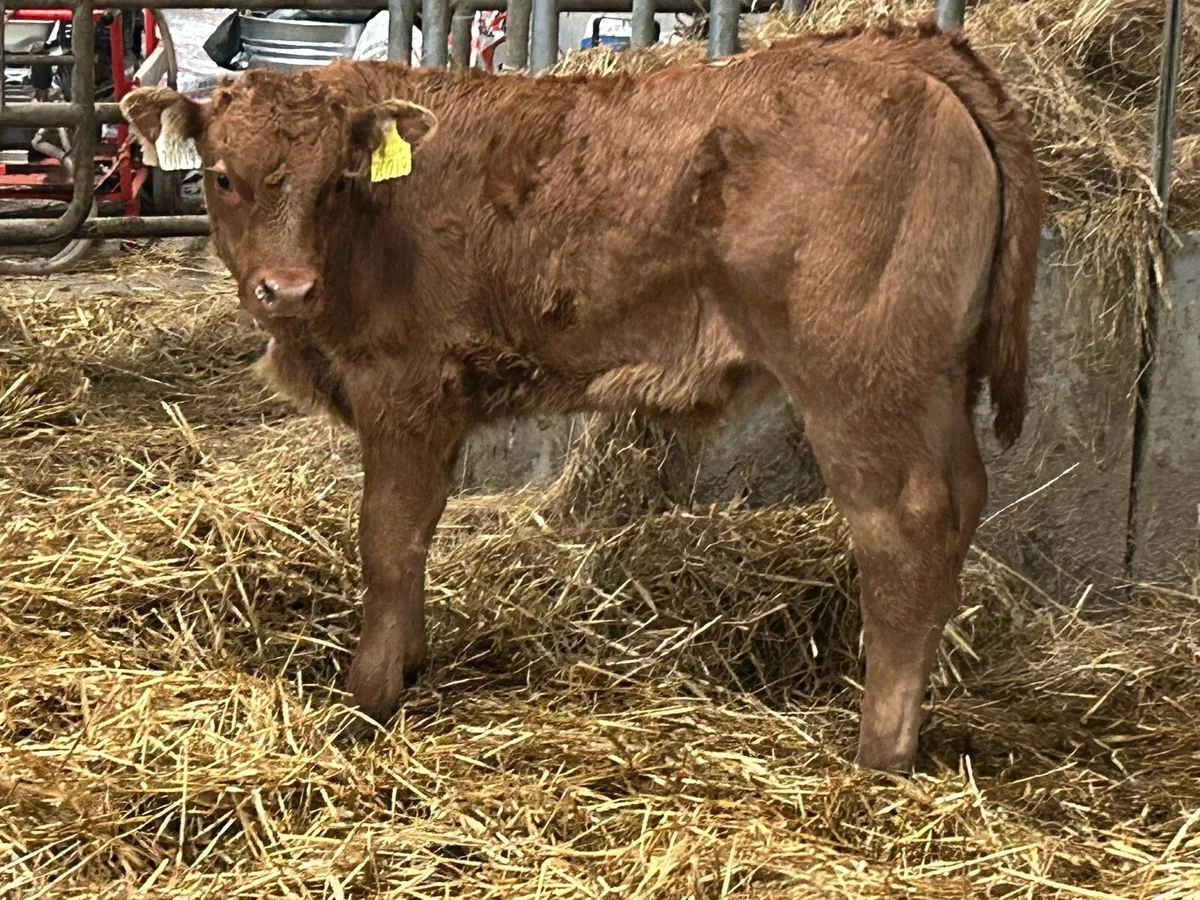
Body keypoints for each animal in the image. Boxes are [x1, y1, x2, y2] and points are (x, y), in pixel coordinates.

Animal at [121, 19, 1042, 772]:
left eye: (335, 182)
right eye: (222, 177)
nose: (286, 288)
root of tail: (895, 49)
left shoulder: (403, 387)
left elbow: (387, 539)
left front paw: (369, 696)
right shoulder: (443, 404)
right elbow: (419, 532)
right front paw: (410, 662)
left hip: (857, 379)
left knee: (903, 527)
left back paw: (880, 752)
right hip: (935, 378)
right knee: (962, 502)